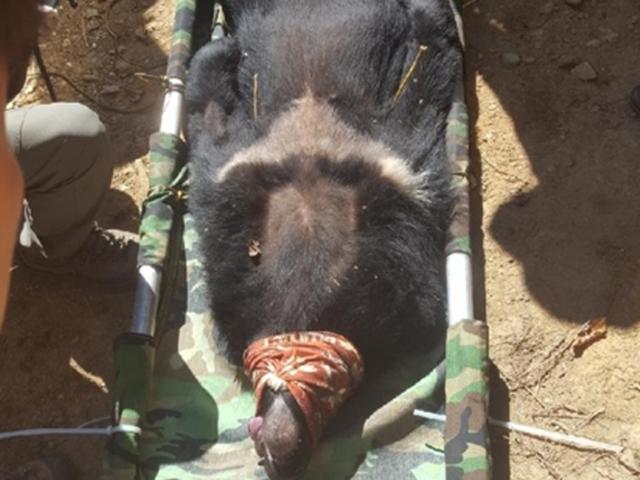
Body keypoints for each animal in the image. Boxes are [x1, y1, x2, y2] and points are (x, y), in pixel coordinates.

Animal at [185, 1, 460, 478]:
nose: (277, 433)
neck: (302, 316)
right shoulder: (229, 204)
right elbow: (212, 121)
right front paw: (217, 54)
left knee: (426, 65)